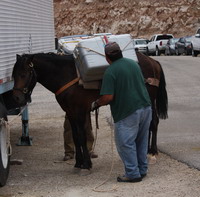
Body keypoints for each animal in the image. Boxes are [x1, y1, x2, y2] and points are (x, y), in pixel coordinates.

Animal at [12, 51, 167, 170]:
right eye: (14, 74)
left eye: (24, 74)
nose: (17, 98)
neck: (65, 74)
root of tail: (152, 61)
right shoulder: (70, 112)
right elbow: (75, 136)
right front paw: (78, 162)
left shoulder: (79, 111)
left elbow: (81, 136)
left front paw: (87, 163)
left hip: (149, 99)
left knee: (153, 122)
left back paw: (152, 152)